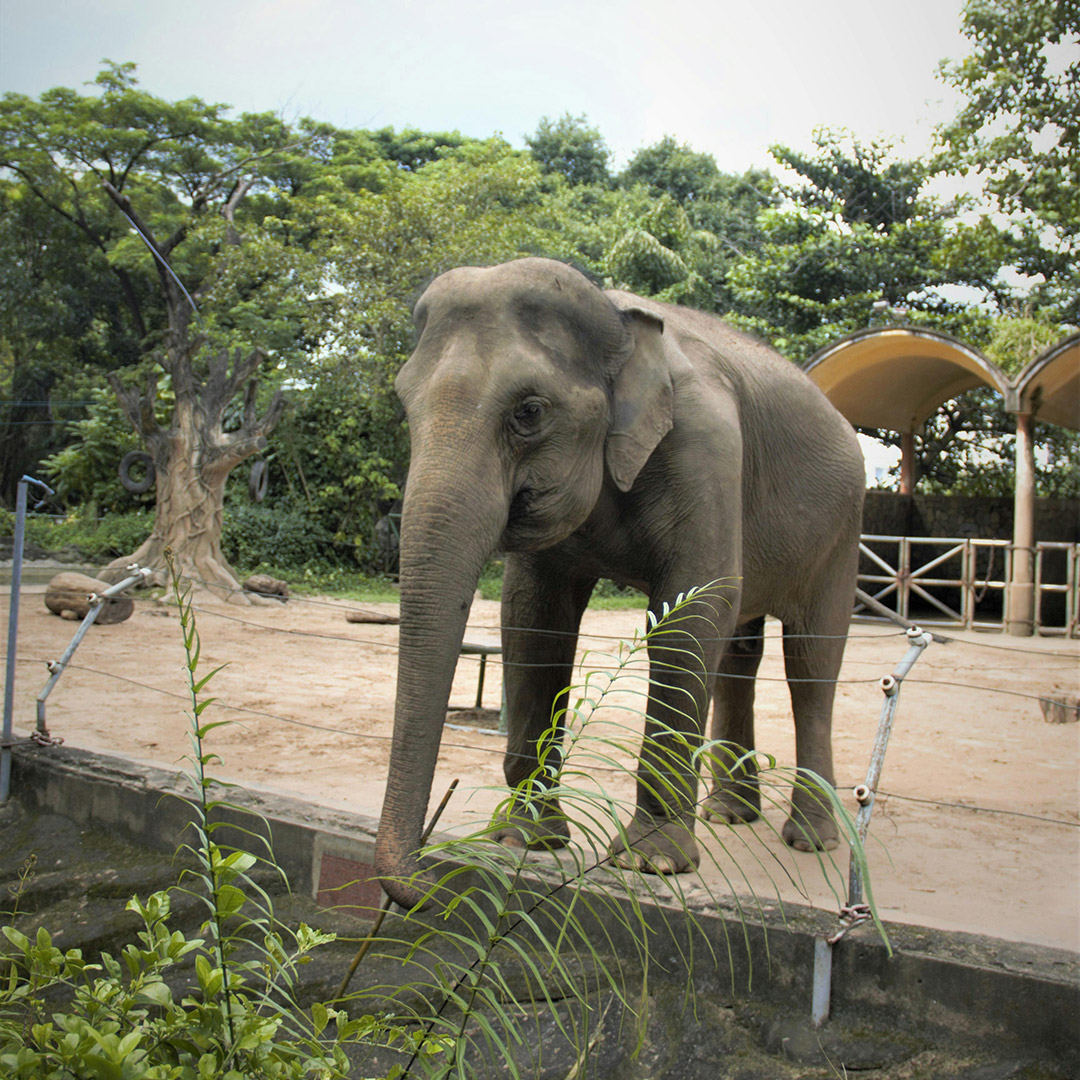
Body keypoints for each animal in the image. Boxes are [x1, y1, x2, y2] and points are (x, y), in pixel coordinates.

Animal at [374, 257, 865, 909]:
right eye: (404, 403)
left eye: (529, 411)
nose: (434, 882)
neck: (616, 317)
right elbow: (533, 622)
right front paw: (523, 841)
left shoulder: (705, 447)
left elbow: (691, 616)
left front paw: (650, 863)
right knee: (741, 649)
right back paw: (730, 816)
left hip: (844, 527)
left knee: (811, 662)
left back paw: (809, 839)